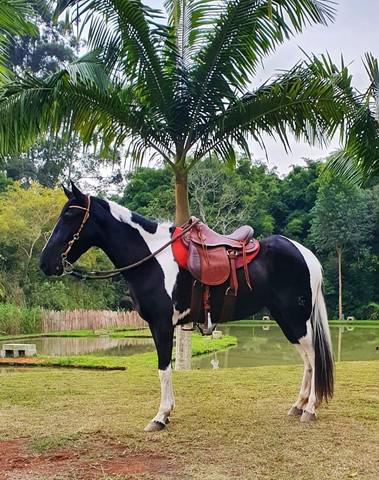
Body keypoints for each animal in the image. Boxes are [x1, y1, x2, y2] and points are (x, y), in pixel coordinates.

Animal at [40, 184, 334, 432]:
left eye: (69, 216)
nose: (45, 262)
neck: (152, 258)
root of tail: (305, 254)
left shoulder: (161, 325)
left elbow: (163, 370)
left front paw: (161, 416)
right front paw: (166, 413)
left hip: (296, 319)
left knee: (313, 357)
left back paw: (310, 409)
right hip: (287, 320)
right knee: (307, 361)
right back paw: (299, 405)